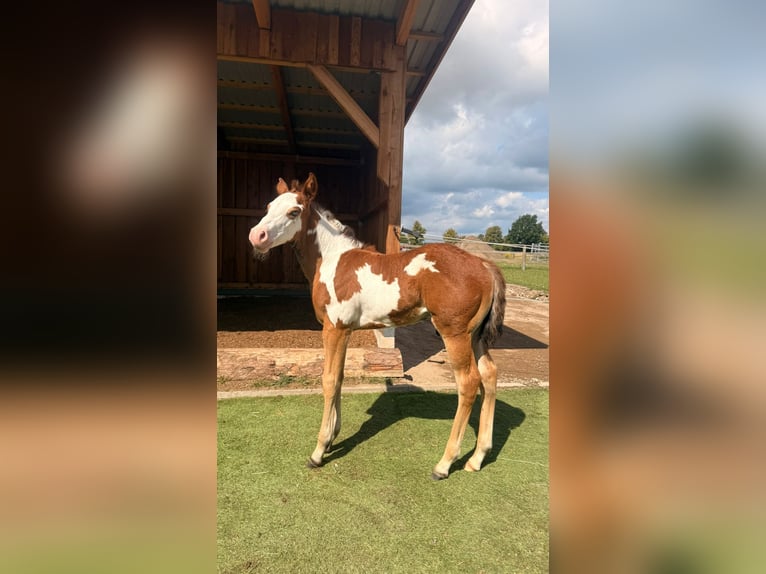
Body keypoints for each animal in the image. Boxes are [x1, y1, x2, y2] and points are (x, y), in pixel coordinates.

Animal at [248, 173, 506, 479]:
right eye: (269, 206)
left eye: (294, 211)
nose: (256, 236)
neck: (334, 259)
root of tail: (484, 265)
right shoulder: (345, 331)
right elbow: (340, 378)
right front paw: (333, 436)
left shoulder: (334, 329)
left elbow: (329, 379)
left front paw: (319, 451)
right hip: (476, 336)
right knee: (489, 375)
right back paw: (477, 458)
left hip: (454, 334)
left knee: (468, 383)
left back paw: (444, 464)